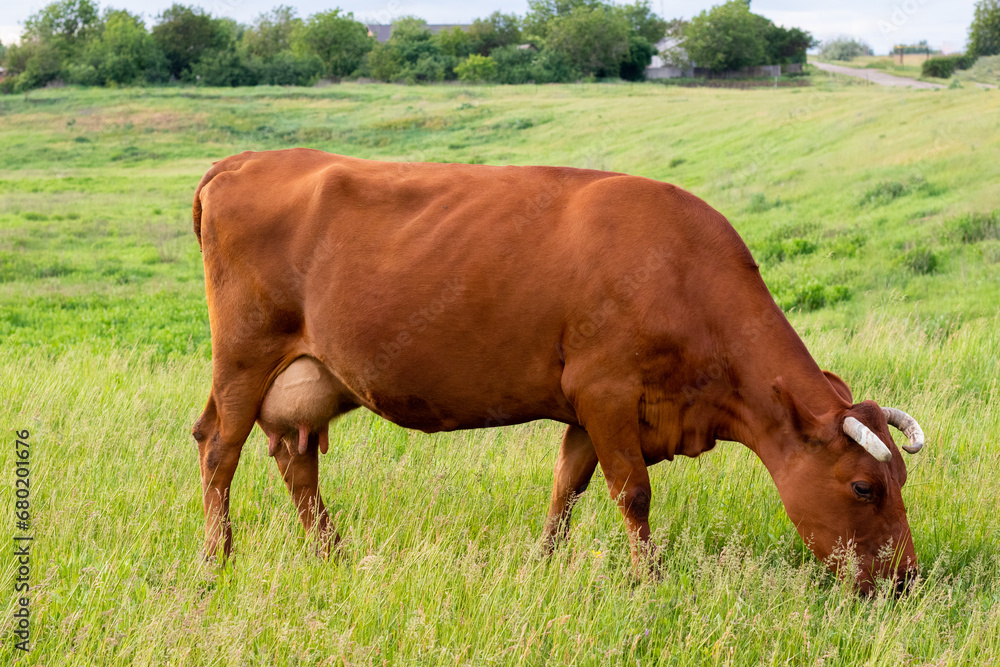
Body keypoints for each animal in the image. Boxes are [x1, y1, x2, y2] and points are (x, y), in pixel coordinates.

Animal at [191, 148, 925, 594]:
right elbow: (632, 493)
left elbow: (566, 488)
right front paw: (651, 582)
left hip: (309, 378)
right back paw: (217, 562)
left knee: (296, 462)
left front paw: (542, 566)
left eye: (900, 478)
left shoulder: (585, 408)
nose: (906, 581)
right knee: (218, 448)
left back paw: (333, 555)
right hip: (244, 359)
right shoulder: (606, 391)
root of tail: (240, 161)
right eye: (863, 486)